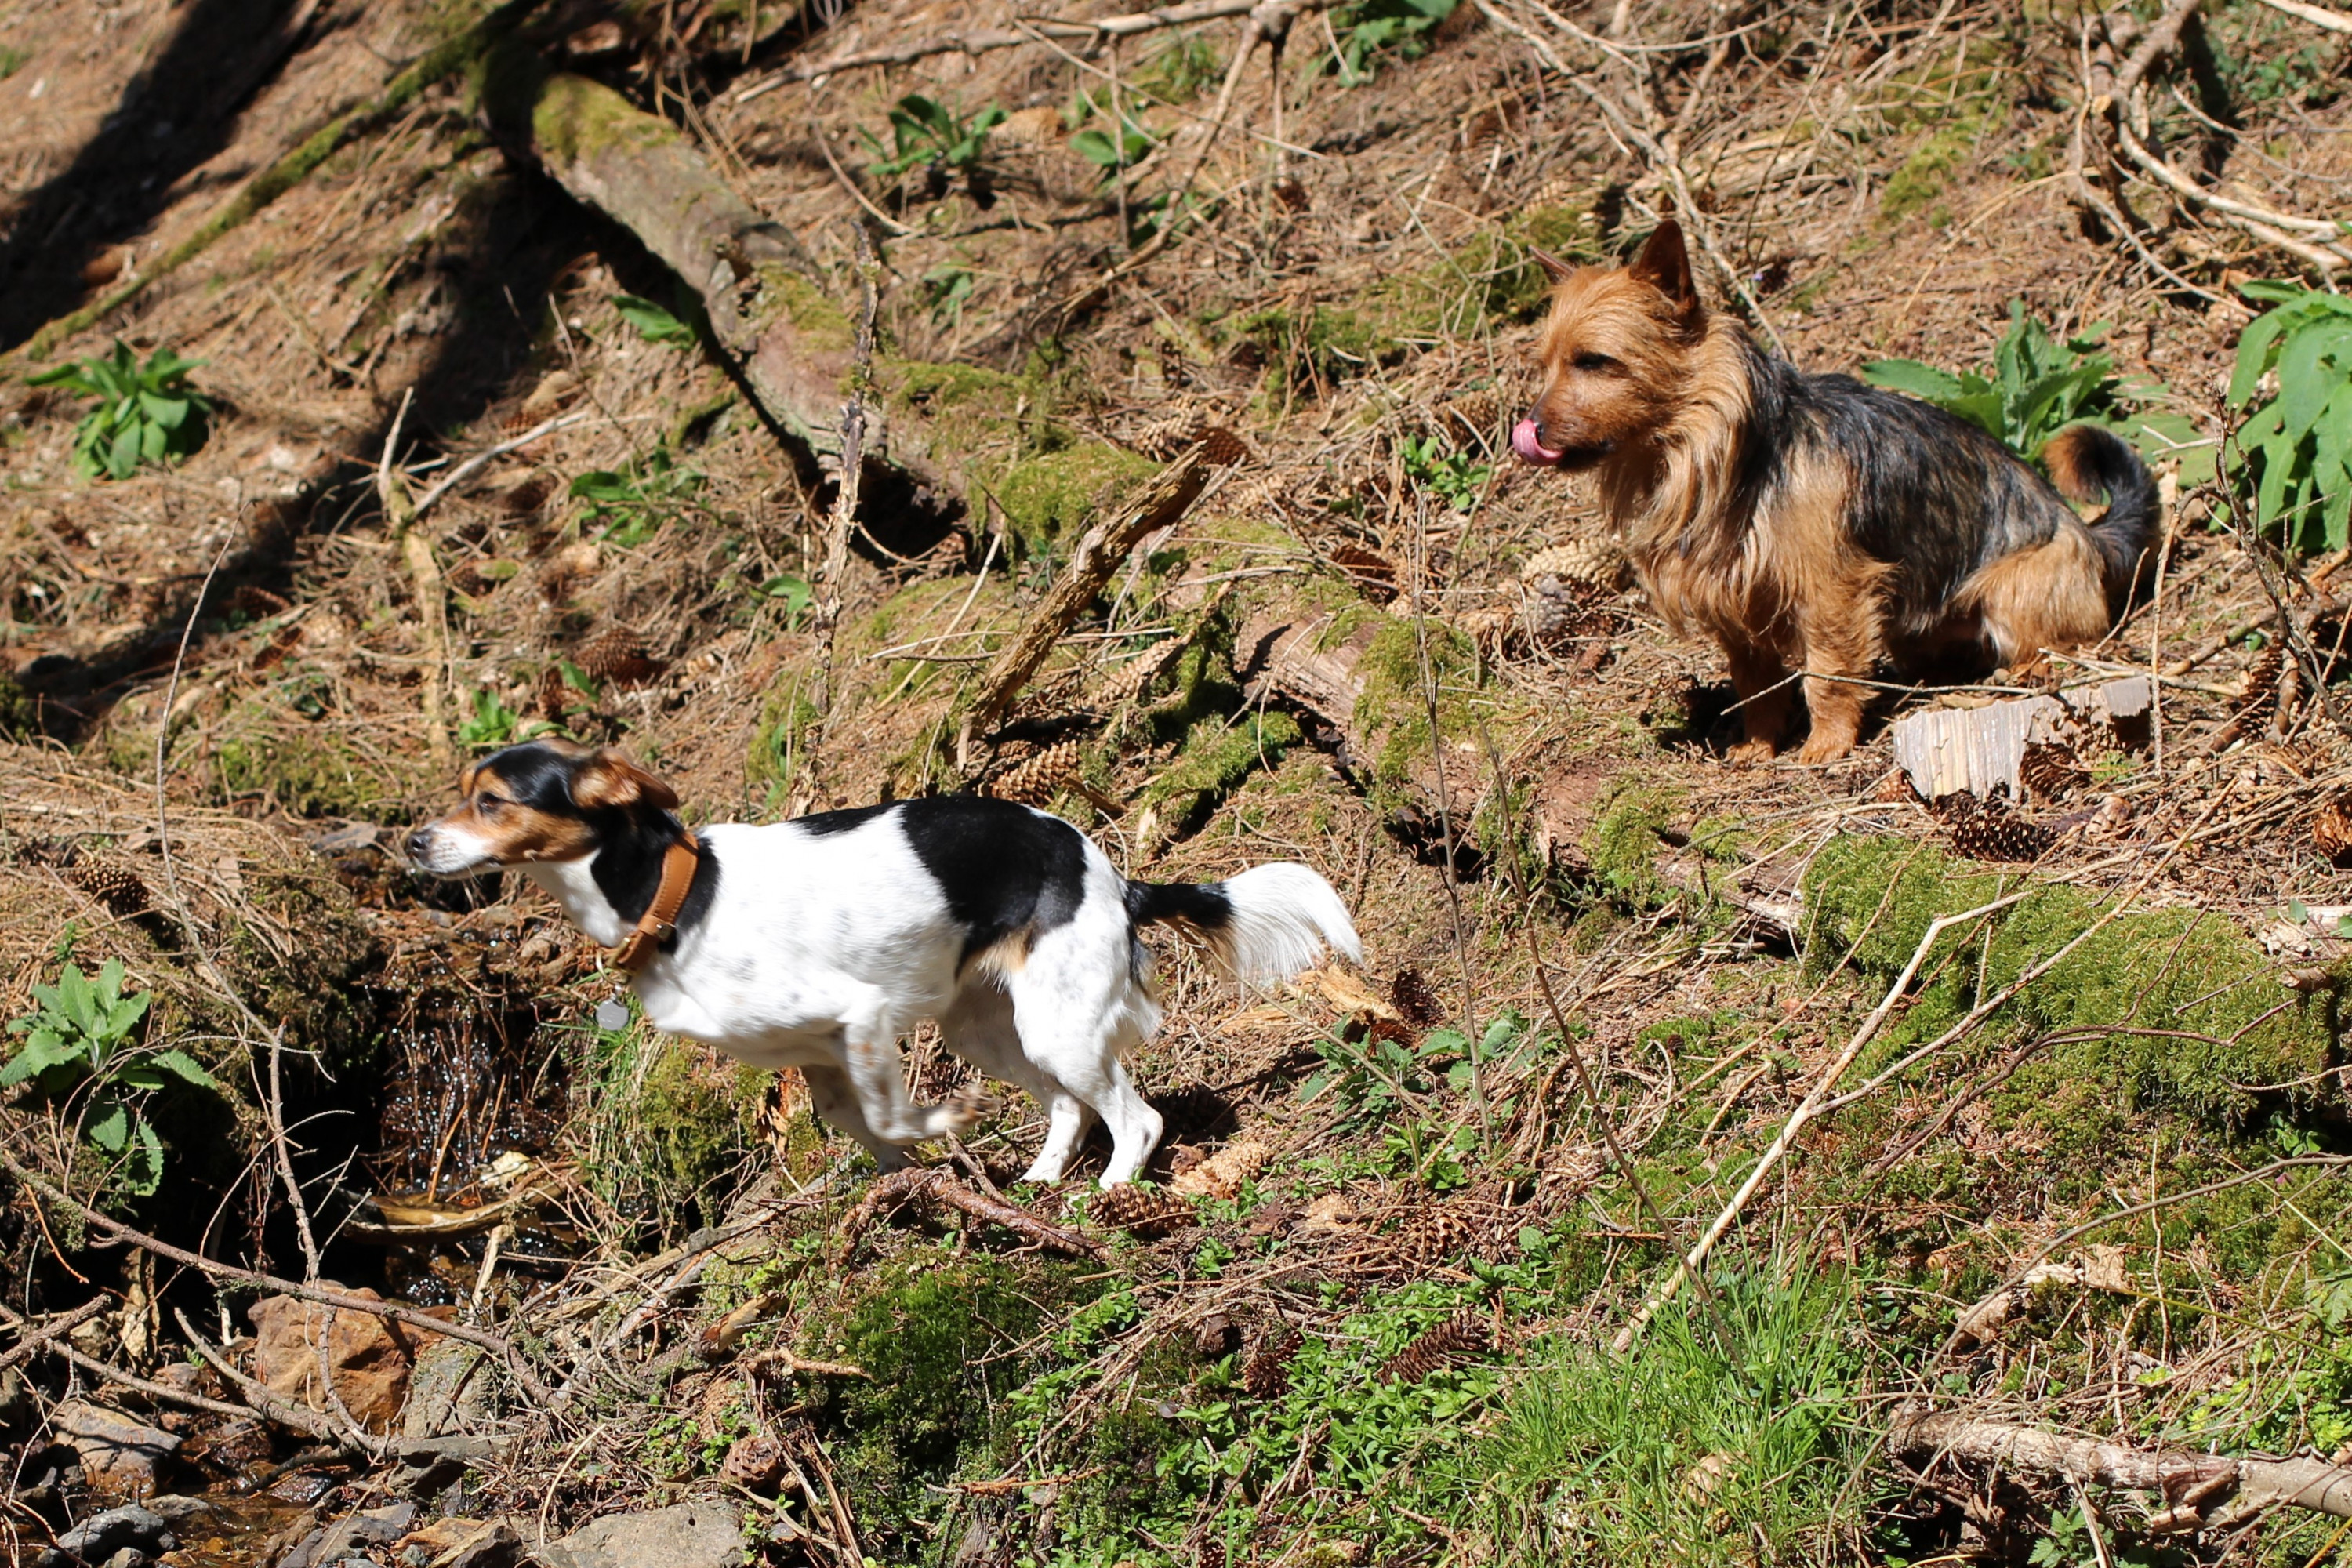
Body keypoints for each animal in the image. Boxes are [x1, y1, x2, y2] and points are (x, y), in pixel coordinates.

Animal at [405, 742, 1364, 1185]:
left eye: (490, 802)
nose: (412, 842)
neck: (678, 894)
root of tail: (1113, 874)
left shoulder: (858, 1012)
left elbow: (894, 1116)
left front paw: (945, 1127)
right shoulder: (823, 1059)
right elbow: (865, 1128)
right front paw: (912, 1186)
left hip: (1059, 1023)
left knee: (1137, 1119)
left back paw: (1107, 1192)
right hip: (993, 1027)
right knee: (1067, 1107)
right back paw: (1040, 1179)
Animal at [1515, 220, 2154, 761]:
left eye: (1595, 362)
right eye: (1545, 366)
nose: (1531, 429)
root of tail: (2090, 536)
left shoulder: (1832, 592)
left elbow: (1827, 674)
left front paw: (1826, 744)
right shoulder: (1737, 605)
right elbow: (1758, 685)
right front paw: (1758, 747)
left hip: (2013, 592)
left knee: (2060, 646)